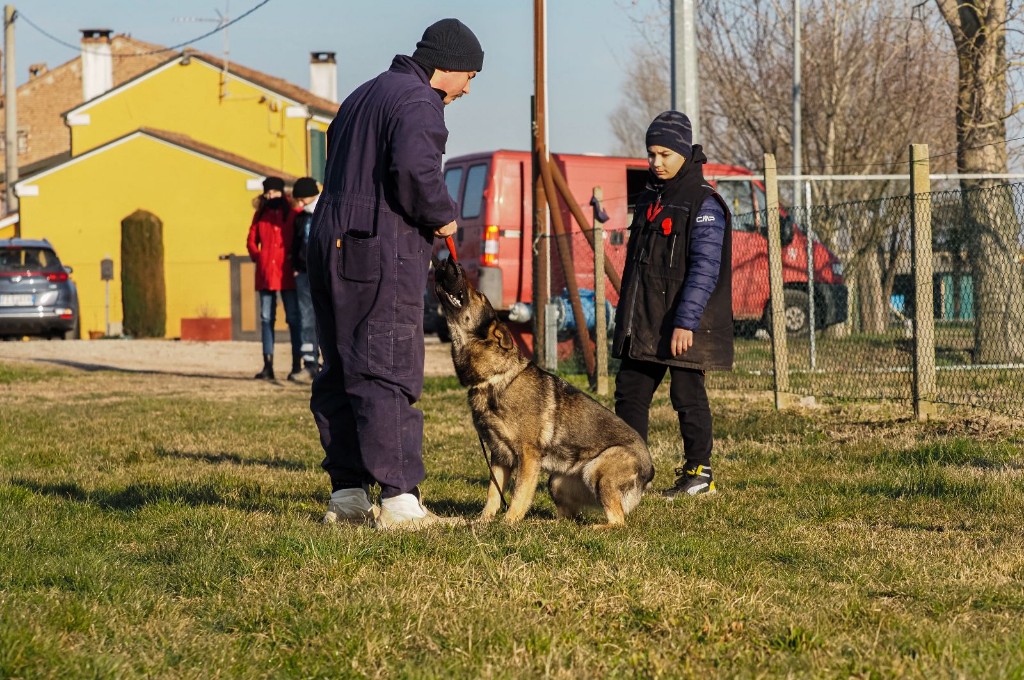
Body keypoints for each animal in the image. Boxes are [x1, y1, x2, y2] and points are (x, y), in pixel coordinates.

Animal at [432, 255, 655, 524]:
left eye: (480, 295)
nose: (448, 261)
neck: (495, 379)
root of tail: (650, 470)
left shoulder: (528, 455)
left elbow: (519, 494)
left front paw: (508, 523)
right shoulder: (499, 456)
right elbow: (493, 493)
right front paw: (483, 522)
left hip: (597, 469)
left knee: (617, 520)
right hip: (556, 481)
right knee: (569, 518)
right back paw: (547, 523)